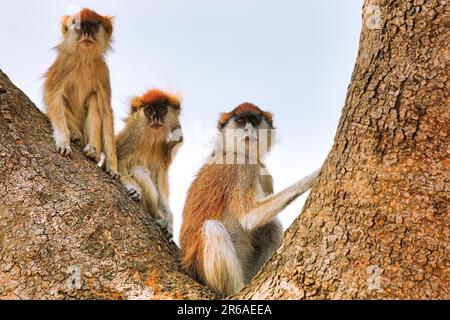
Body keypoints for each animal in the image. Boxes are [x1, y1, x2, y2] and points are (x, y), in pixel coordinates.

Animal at [42, 8, 118, 178]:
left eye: (92, 26)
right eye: (80, 26)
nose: (86, 34)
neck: (84, 58)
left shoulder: (103, 71)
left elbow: (106, 111)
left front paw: (113, 167)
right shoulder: (65, 62)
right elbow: (52, 93)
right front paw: (63, 141)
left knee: (94, 101)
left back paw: (93, 151)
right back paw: (74, 133)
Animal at [118, 89, 185, 239]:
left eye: (160, 108)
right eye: (148, 110)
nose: (155, 117)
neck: (150, 139)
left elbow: (159, 182)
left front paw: (170, 220)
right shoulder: (131, 137)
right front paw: (132, 186)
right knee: (139, 170)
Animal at [179, 103, 320, 298]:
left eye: (253, 120)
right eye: (240, 121)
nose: (248, 129)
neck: (229, 150)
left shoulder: (265, 175)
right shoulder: (240, 167)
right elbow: (250, 217)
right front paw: (316, 173)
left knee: (272, 226)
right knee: (212, 228)